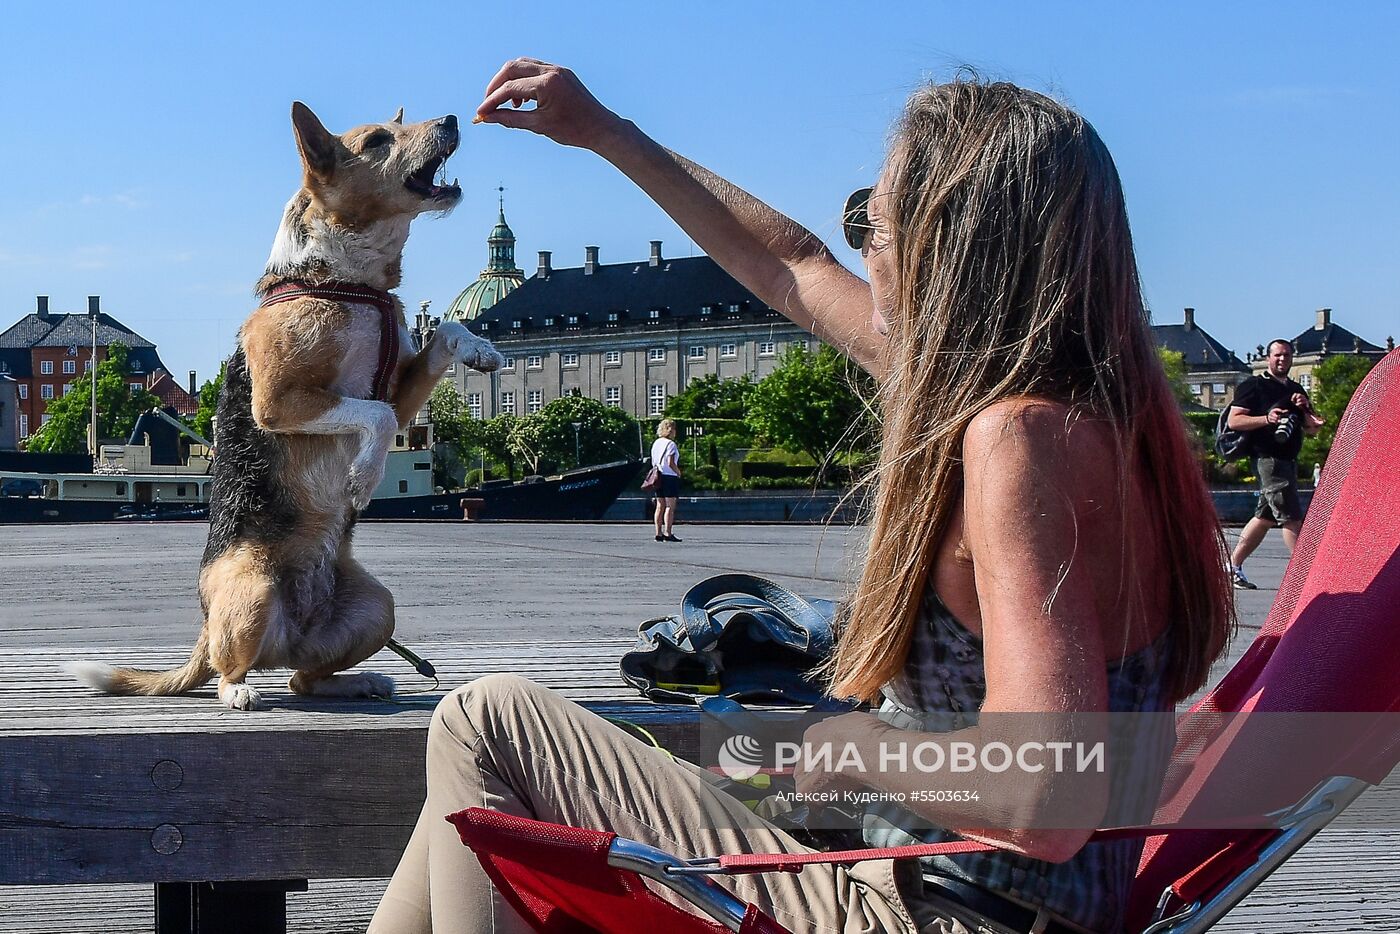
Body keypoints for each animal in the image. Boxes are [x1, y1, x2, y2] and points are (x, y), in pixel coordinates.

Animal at [71, 102, 506, 711]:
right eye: (377, 141)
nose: (450, 119)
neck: (344, 281)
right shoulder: (278, 402)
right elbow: (376, 417)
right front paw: (364, 478)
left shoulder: (396, 389)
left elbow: (443, 332)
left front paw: (480, 348)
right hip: (254, 593)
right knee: (231, 670)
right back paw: (239, 691)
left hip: (379, 609)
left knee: (305, 678)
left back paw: (360, 680)